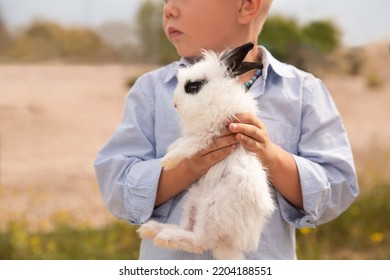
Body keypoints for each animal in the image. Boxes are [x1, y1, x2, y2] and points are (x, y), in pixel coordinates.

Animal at [137, 42, 274, 260]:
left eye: (194, 87)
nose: (175, 104)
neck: (217, 97)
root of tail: (229, 245)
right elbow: (182, 142)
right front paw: (169, 156)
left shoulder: (212, 133)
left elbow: (190, 143)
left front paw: (168, 161)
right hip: (193, 202)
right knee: (189, 230)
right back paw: (153, 230)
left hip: (213, 209)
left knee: (200, 241)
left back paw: (164, 237)